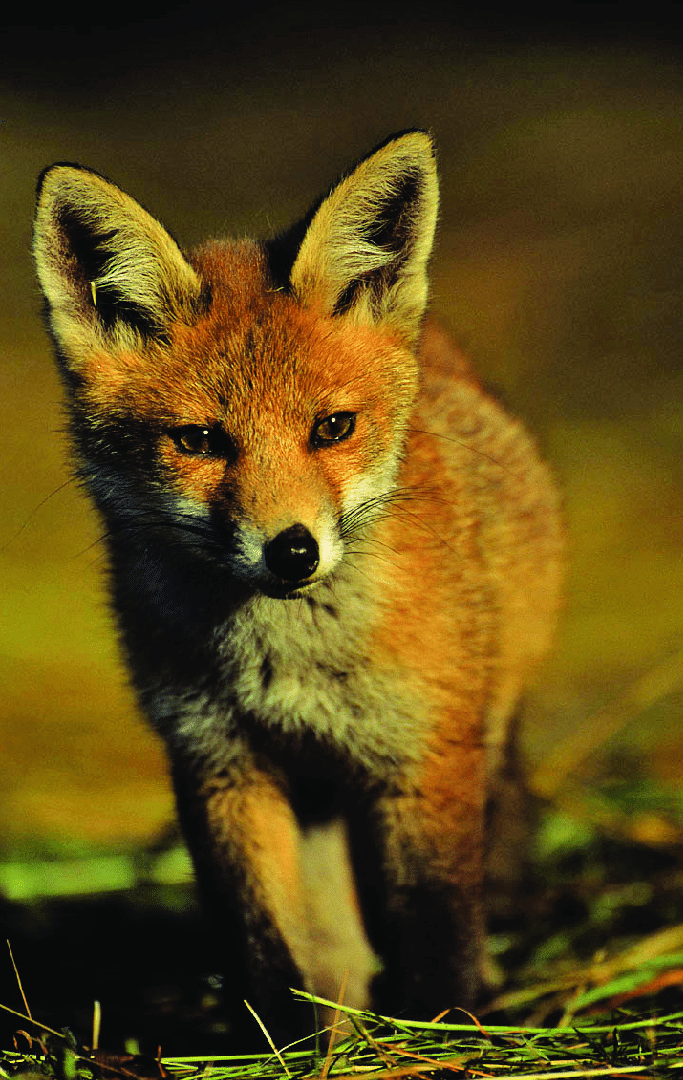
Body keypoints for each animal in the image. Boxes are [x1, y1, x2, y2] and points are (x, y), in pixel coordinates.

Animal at [33, 131, 563, 1042]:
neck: (288, 663)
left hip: (473, 733)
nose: (291, 552)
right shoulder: (218, 763)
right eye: (199, 441)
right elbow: (267, 942)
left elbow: (436, 921)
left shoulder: (425, 755)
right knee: (338, 937)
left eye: (331, 428)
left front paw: (443, 1030)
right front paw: (283, 1042)